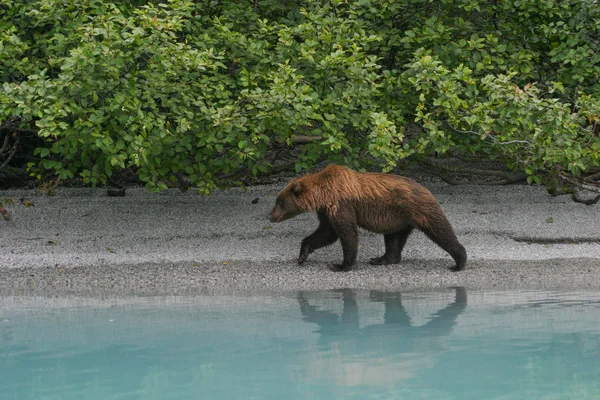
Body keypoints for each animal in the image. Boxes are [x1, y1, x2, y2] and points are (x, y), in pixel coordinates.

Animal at [270, 163, 466, 272]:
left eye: (280, 202)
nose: (270, 216)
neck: (324, 194)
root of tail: (426, 189)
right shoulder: (326, 210)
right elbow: (326, 232)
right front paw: (303, 254)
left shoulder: (342, 204)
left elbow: (347, 233)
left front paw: (341, 265)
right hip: (397, 219)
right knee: (393, 239)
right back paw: (382, 259)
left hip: (419, 209)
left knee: (440, 230)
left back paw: (459, 261)